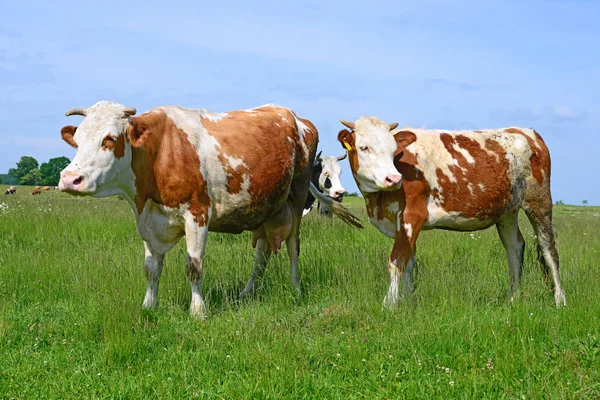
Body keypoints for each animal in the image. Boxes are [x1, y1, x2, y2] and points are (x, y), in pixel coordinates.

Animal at [58, 101, 360, 318]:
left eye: (109, 138)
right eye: (78, 140)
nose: (69, 179)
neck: (158, 153)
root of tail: (296, 117)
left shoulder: (196, 214)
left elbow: (193, 266)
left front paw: (198, 312)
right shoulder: (147, 220)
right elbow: (151, 268)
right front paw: (148, 306)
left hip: (296, 197)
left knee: (293, 246)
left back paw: (295, 288)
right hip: (265, 206)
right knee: (262, 254)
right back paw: (247, 292)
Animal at [338, 117, 568, 308]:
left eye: (394, 149)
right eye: (364, 147)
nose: (393, 179)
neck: (377, 202)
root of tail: (527, 132)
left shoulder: (412, 215)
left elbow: (397, 261)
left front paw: (390, 304)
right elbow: (410, 261)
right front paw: (408, 301)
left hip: (539, 201)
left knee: (549, 249)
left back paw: (560, 300)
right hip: (507, 211)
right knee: (515, 248)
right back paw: (513, 299)